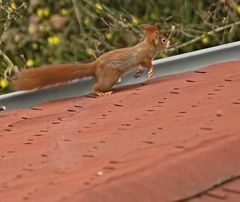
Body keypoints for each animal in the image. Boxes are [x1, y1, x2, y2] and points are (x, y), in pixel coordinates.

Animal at [14, 23, 170, 96]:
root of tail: (94, 66)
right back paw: (102, 93)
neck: (148, 45)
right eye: (163, 40)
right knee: (95, 87)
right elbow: (147, 64)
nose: (169, 42)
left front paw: (138, 73)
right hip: (110, 76)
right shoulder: (143, 56)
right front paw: (151, 71)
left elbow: (140, 67)